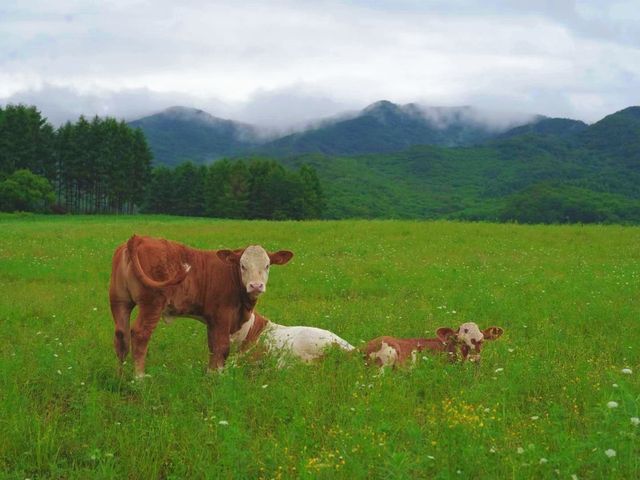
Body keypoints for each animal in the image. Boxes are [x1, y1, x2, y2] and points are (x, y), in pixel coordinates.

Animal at [107, 234, 292, 376]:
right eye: (242, 265)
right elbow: (222, 348)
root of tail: (139, 238)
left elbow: (213, 347)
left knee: (121, 336)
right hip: (152, 303)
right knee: (140, 334)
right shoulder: (222, 315)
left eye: (267, 265)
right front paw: (219, 376)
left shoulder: (212, 320)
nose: (256, 286)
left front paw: (210, 373)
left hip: (119, 301)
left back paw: (120, 376)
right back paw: (139, 378)